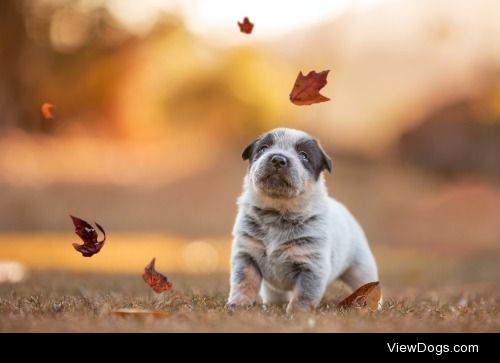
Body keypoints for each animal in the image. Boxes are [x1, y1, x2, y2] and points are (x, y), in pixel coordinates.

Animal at [227, 129, 378, 316]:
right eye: (263, 148)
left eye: (304, 156)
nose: (278, 159)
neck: (277, 213)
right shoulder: (247, 255)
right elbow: (243, 283)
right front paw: (238, 304)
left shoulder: (311, 266)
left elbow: (303, 295)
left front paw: (296, 314)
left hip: (361, 268)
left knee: (368, 282)